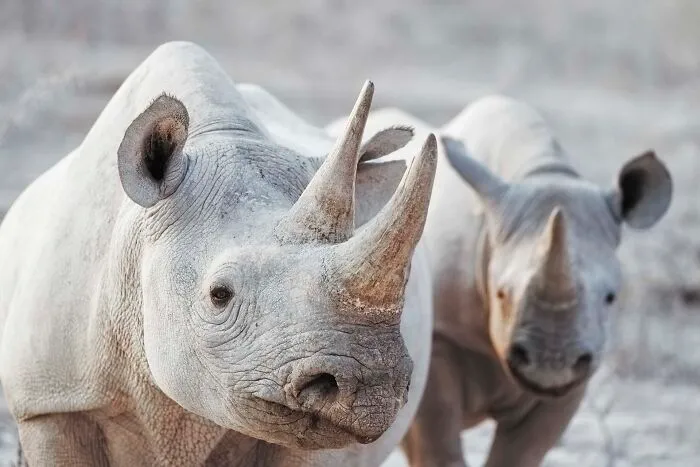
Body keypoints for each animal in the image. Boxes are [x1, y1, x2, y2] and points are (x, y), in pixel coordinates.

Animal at [326, 95, 672, 467]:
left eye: (611, 297)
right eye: (502, 293)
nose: (552, 364)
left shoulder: (581, 366)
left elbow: (520, 453)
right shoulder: (439, 338)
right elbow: (439, 447)